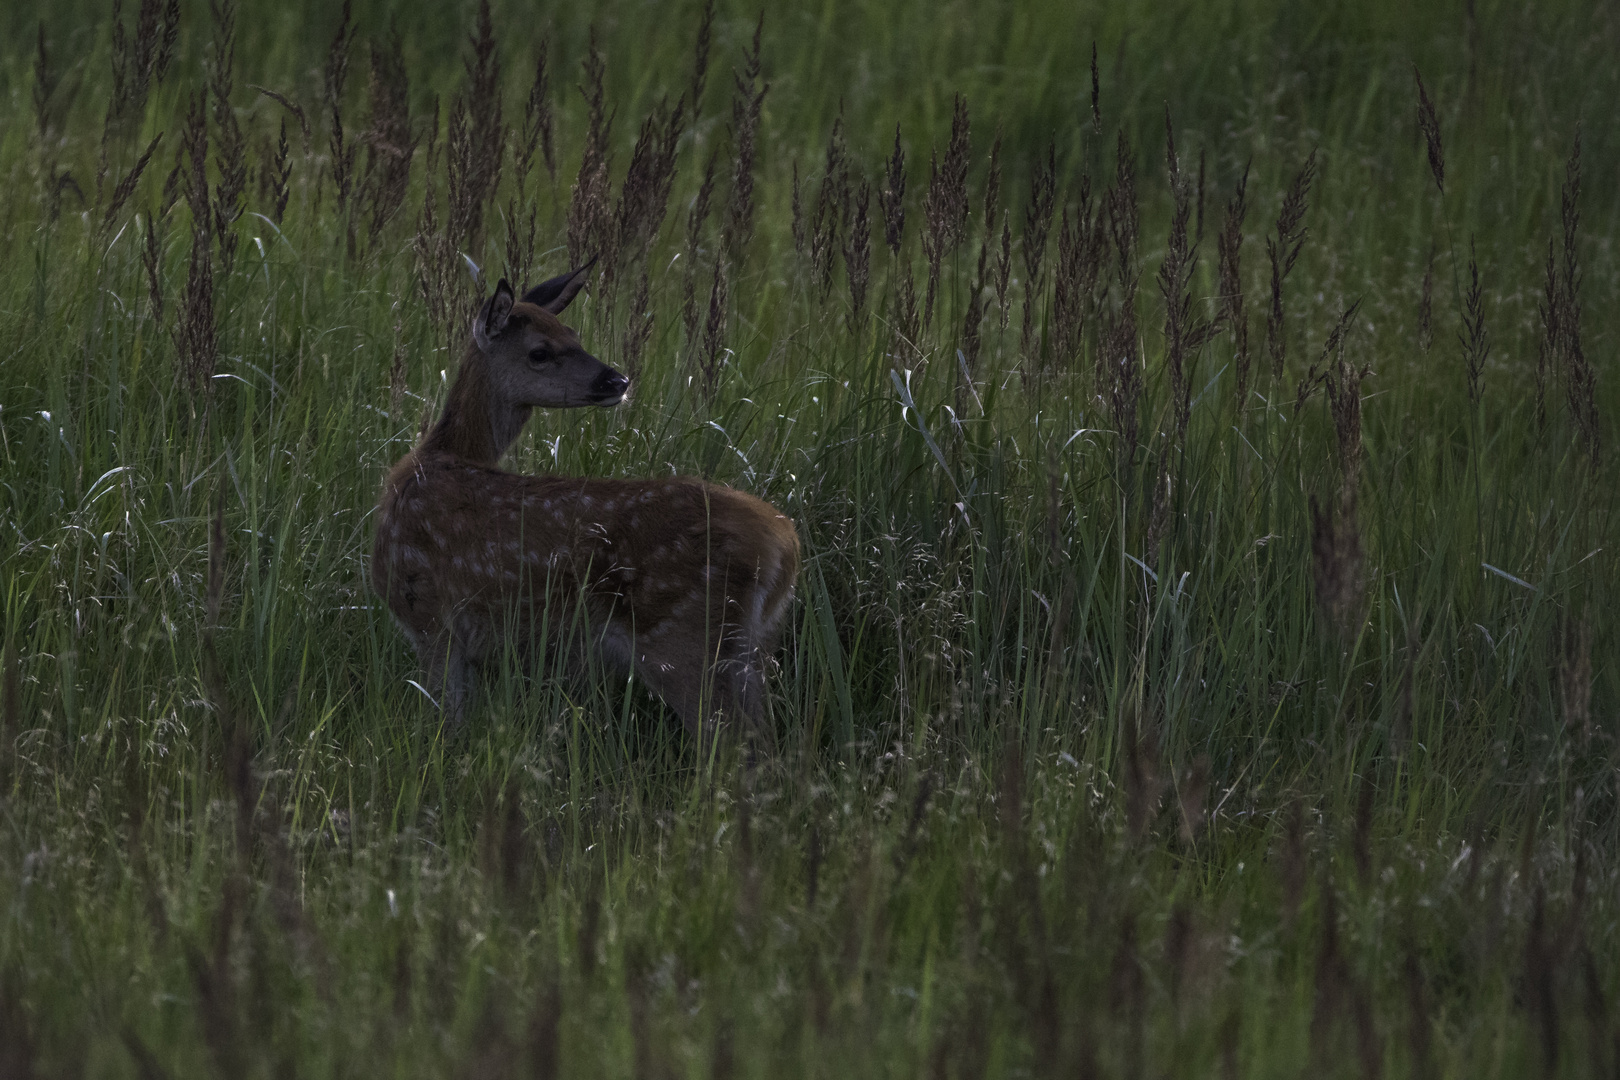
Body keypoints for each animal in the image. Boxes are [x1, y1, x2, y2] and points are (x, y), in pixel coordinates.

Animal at [369, 267, 797, 748]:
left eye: (572, 334)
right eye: (541, 350)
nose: (617, 381)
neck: (435, 459)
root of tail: (784, 546)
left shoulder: (429, 618)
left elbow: (448, 724)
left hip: (684, 639)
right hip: (753, 649)